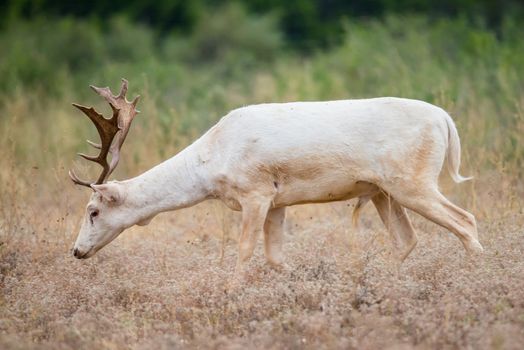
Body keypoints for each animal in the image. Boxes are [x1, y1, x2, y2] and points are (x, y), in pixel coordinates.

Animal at [69, 80, 484, 274]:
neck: (211, 163)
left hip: (413, 181)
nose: (75, 251)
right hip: (384, 191)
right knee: (407, 239)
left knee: (465, 220)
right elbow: (274, 256)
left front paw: (231, 292)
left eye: (93, 210)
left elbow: (245, 251)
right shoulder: (277, 201)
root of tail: (445, 120)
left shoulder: (254, 192)